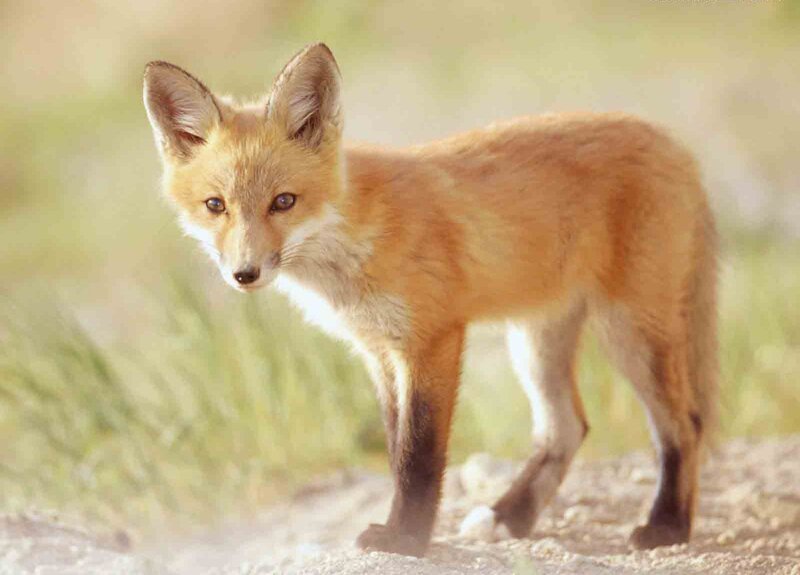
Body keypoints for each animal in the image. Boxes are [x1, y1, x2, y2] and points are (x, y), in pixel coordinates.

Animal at [143, 43, 718, 557]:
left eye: (283, 202)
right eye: (215, 205)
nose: (245, 273)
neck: (353, 241)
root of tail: (673, 141)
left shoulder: (433, 338)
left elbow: (419, 456)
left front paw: (406, 541)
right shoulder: (379, 352)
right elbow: (396, 449)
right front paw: (406, 531)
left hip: (631, 331)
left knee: (684, 424)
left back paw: (666, 527)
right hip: (535, 340)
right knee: (567, 429)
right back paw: (510, 517)